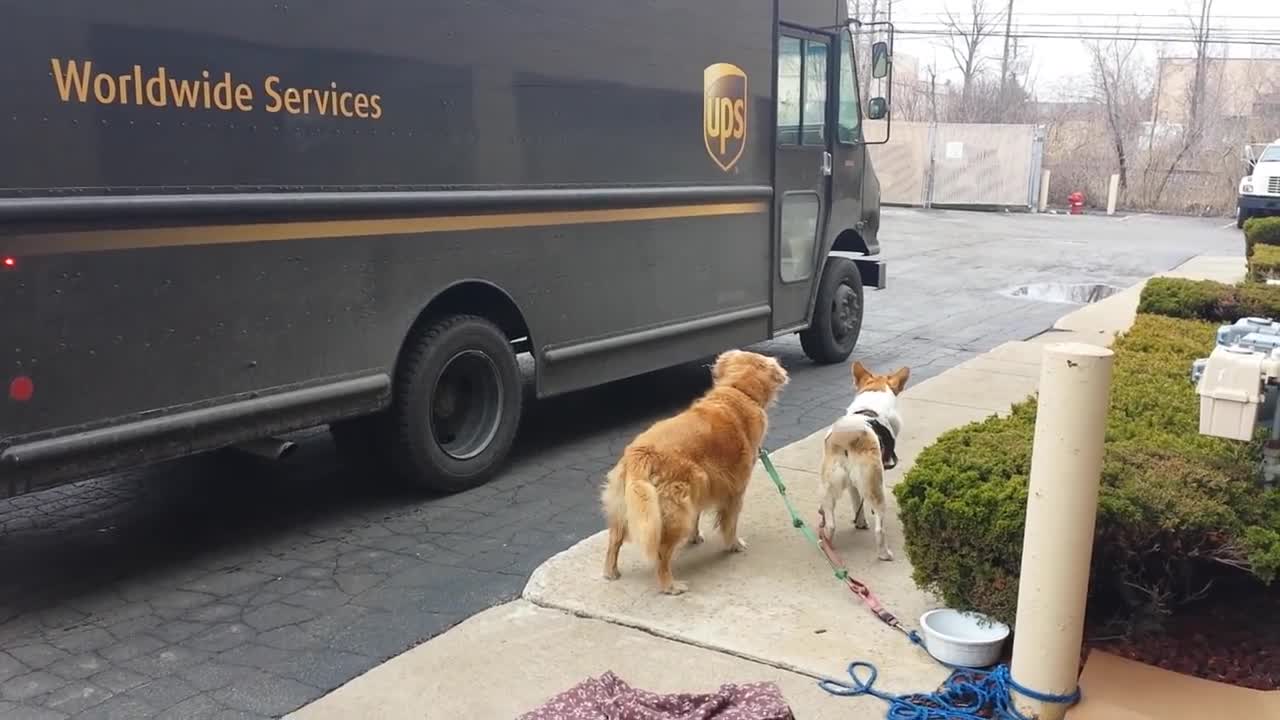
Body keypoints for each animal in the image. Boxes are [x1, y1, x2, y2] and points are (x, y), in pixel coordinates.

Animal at [819, 361, 911, 558]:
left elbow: (857, 503)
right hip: (875, 486)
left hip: (828, 487)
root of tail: (846, 438)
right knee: (879, 529)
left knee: (830, 524)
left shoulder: (853, 485)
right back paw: (884, 554)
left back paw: (826, 545)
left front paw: (860, 522)